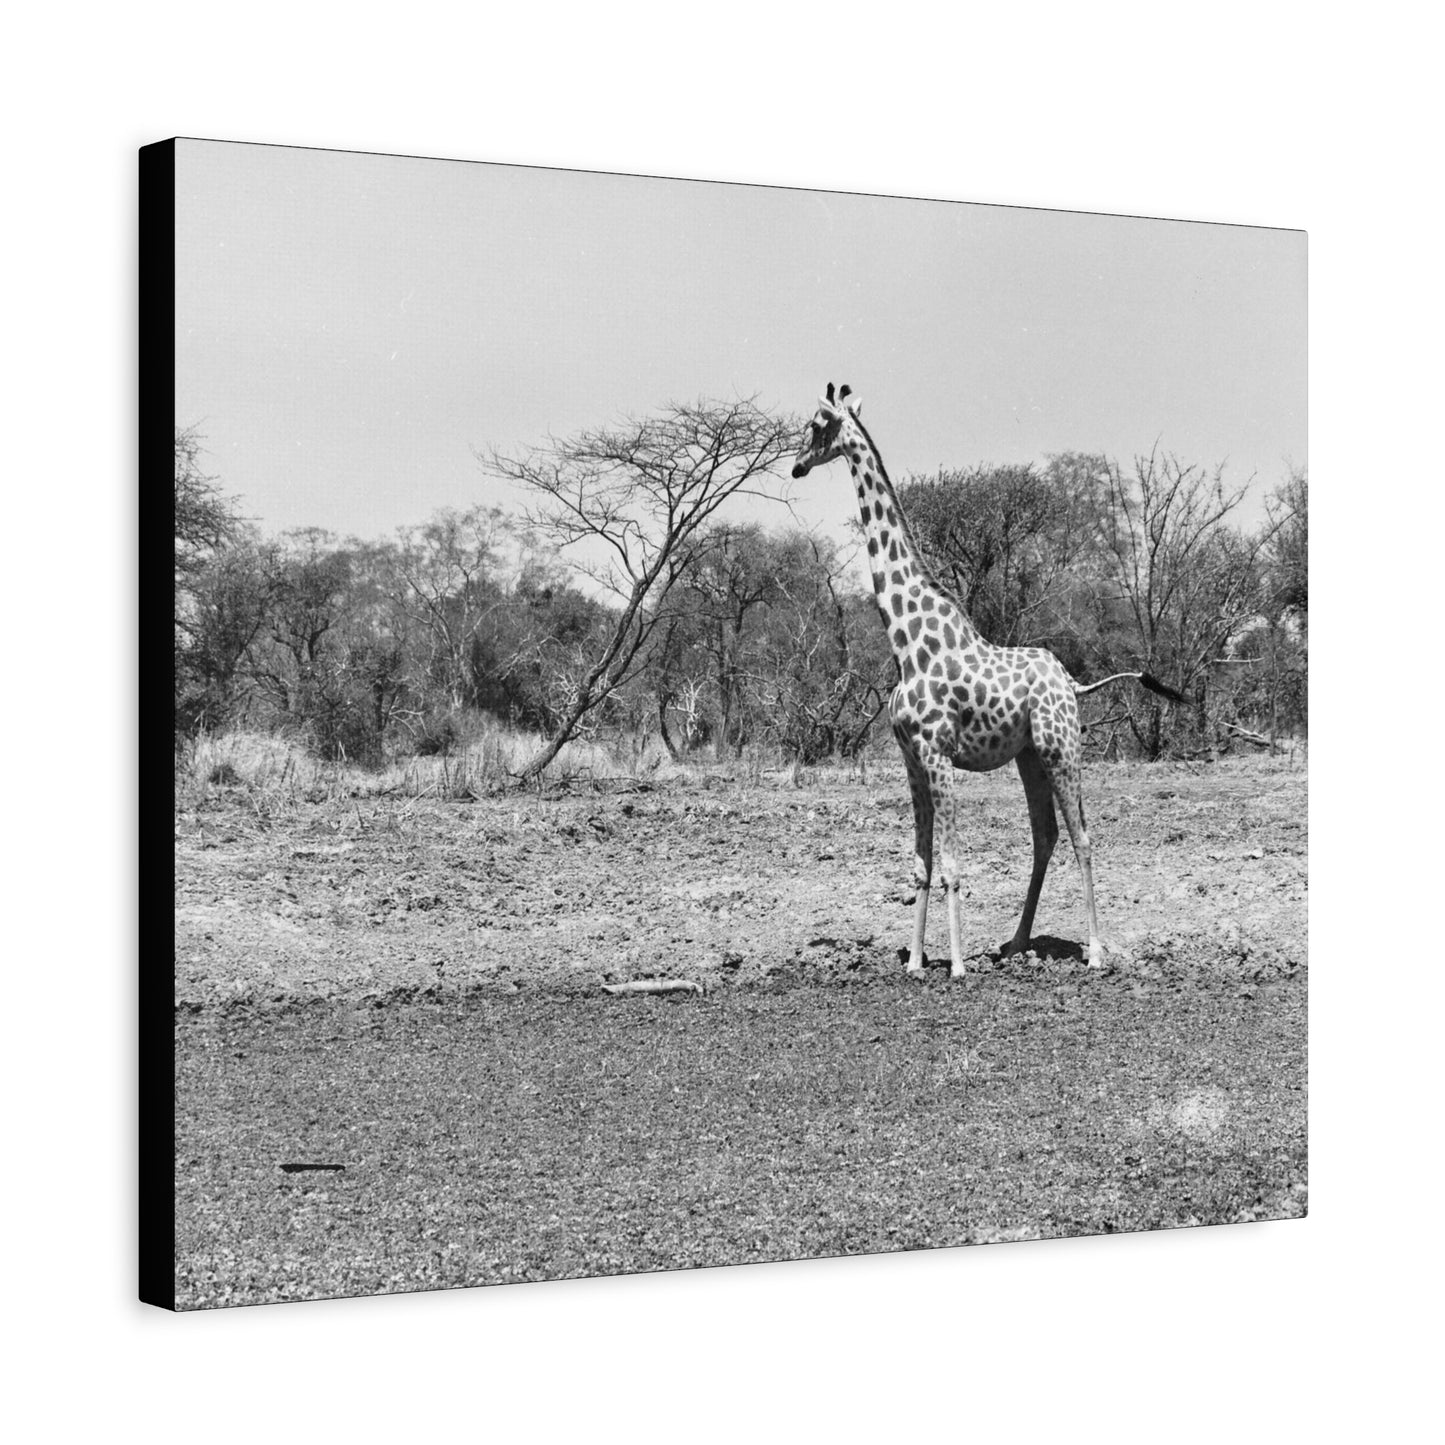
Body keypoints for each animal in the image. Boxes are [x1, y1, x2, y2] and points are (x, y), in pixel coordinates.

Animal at [790, 383, 1184, 978]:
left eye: (817, 424)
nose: (795, 466)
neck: (906, 643)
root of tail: (1073, 685)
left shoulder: (937, 755)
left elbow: (953, 864)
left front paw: (954, 966)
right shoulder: (912, 761)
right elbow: (921, 864)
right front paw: (915, 963)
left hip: (1062, 747)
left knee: (1083, 836)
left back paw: (1094, 951)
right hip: (1029, 756)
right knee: (1045, 835)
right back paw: (1016, 942)